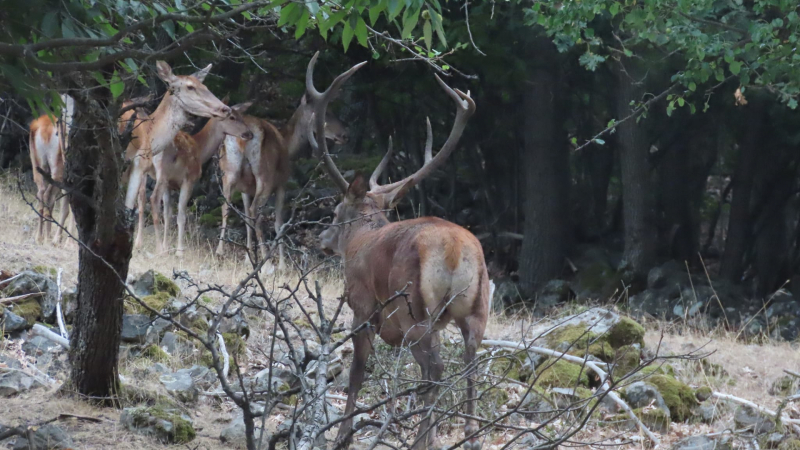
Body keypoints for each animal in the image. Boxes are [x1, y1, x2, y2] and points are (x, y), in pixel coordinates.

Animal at [304, 53, 484, 450]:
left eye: (335, 212)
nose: (322, 240)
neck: (360, 240)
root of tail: (454, 250)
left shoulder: (362, 305)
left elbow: (357, 373)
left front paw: (343, 435)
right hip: (477, 308)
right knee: (468, 365)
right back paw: (466, 436)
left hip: (412, 307)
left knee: (434, 369)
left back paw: (421, 441)